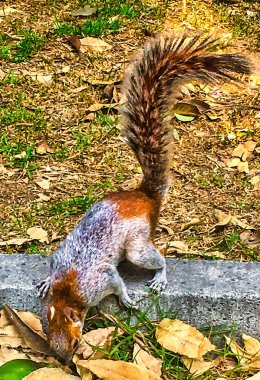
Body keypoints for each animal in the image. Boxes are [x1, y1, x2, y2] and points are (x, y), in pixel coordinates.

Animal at [36, 34, 252, 364]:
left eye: (74, 341)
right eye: (49, 339)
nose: (66, 361)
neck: (67, 291)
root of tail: (145, 195)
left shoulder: (100, 280)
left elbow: (116, 282)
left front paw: (126, 299)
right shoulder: (60, 259)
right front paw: (45, 282)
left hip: (137, 248)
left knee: (156, 259)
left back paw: (160, 277)